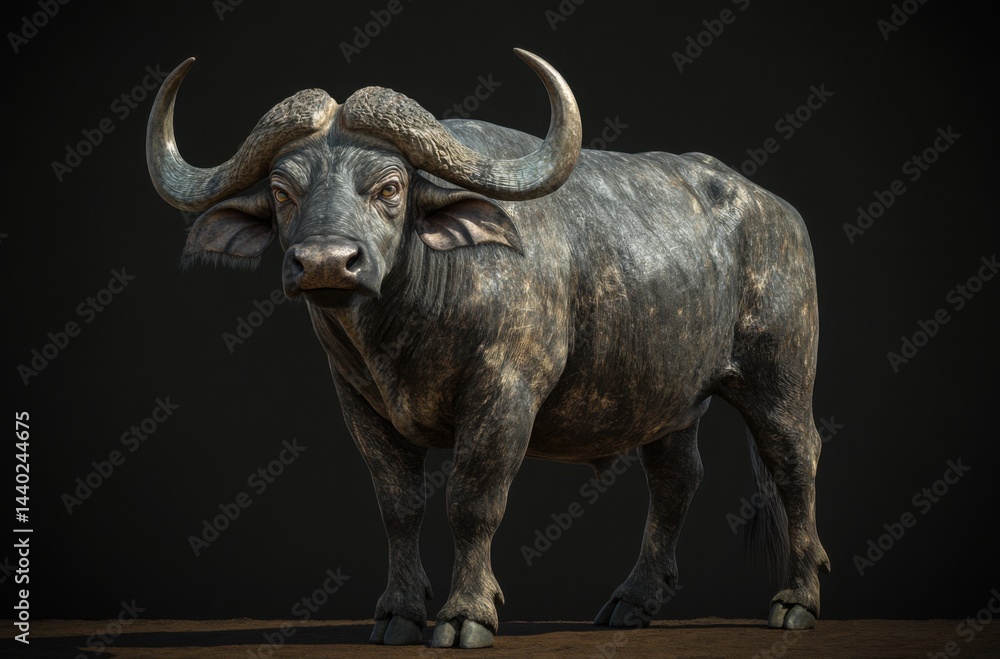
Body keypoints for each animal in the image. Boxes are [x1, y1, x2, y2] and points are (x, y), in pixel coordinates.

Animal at [147, 49, 830, 648]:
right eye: (284, 192)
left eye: (390, 187)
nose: (324, 262)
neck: (409, 323)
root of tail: (779, 213)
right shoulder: (359, 404)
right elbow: (398, 507)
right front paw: (397, 613)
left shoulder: (504, 395)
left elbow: (473, 503)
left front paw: (465, 614)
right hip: (669, 399)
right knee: (675, 479)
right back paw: (632, 600)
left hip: (778, 377)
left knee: (794, 461)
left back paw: (797, 600)